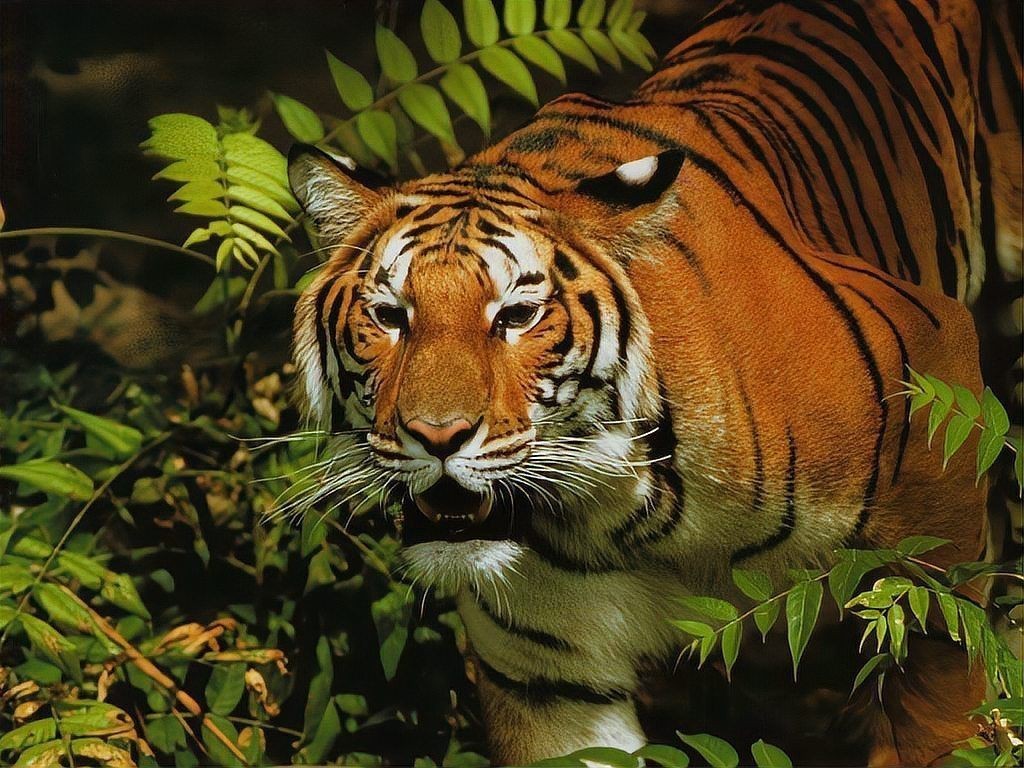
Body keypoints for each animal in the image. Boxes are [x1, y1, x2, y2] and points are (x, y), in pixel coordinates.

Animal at [286, 0, 1022, 764]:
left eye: (517, 315)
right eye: (389, 316)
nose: (436, 436)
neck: (626, 516)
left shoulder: (934, 462)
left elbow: (937, 692)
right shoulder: (552, 684)